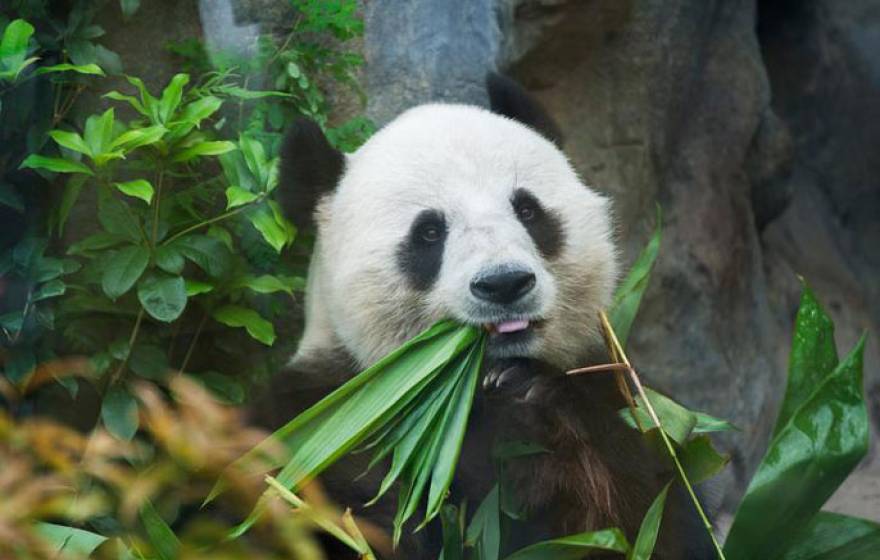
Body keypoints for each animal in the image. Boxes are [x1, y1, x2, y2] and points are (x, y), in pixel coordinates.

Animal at [249, 74, 715, 559]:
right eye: (429, 232)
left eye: (527, 210)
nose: (504, 283)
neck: (463, 398)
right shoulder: (324, 421)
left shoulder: (616, 391)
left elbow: (644, 522)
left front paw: (530, 396)